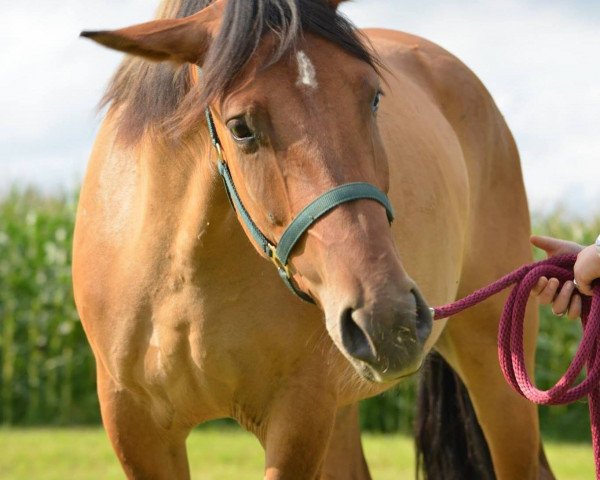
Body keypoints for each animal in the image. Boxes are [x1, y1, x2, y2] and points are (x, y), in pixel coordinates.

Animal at [76, 0, 556, 480]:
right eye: (240, 127)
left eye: (374, 97)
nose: (389, 321)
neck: (181, 278)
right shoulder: (134, 425)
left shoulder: (299, 415)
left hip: (497, 380)